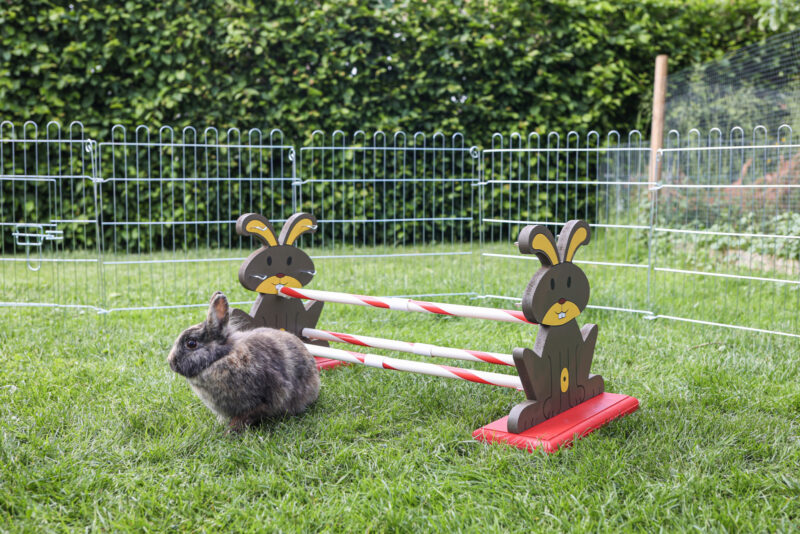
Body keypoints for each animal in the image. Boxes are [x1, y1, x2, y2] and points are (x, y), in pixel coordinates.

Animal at [167, 292, 320, 434]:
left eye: (191, 343)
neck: (221, 357)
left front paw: (229, 432)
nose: (171, 363)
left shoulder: (257, 403)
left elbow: (243, 417)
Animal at [510, 222, 604, 436]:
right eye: (551, 284)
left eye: (569, 281)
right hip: (529, 362)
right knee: (524, 356)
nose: (561, 300)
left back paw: (589, 389)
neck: (561, 326)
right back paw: (532, 416)